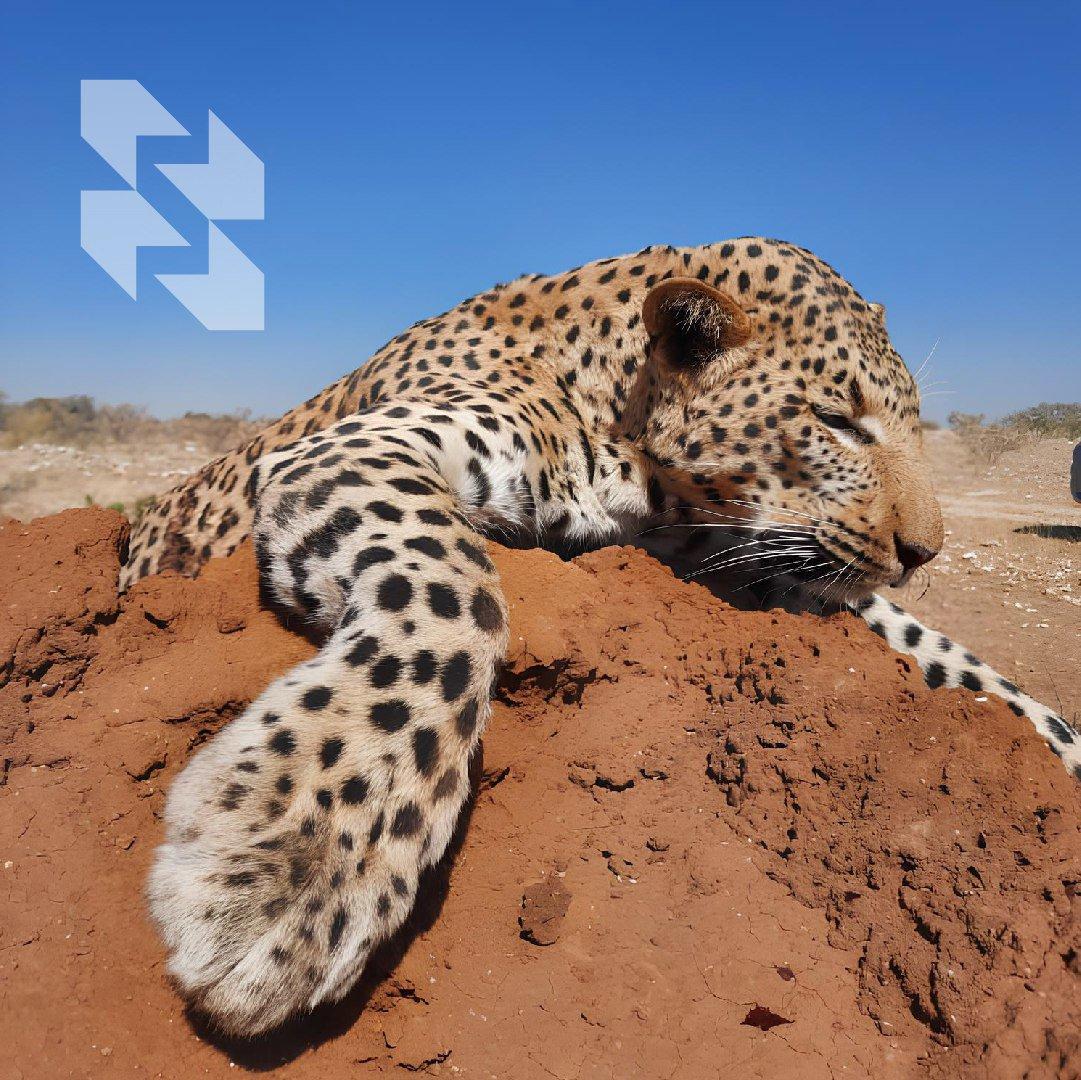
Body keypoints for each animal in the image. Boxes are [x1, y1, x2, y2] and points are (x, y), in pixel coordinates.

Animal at [133, 237, 1080, 1036]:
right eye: (836, 422)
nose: (923, 553)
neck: (625, 431)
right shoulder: (356, 449)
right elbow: (450, 588)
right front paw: (294, 864)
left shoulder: (744, 558)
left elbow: (961, 661)